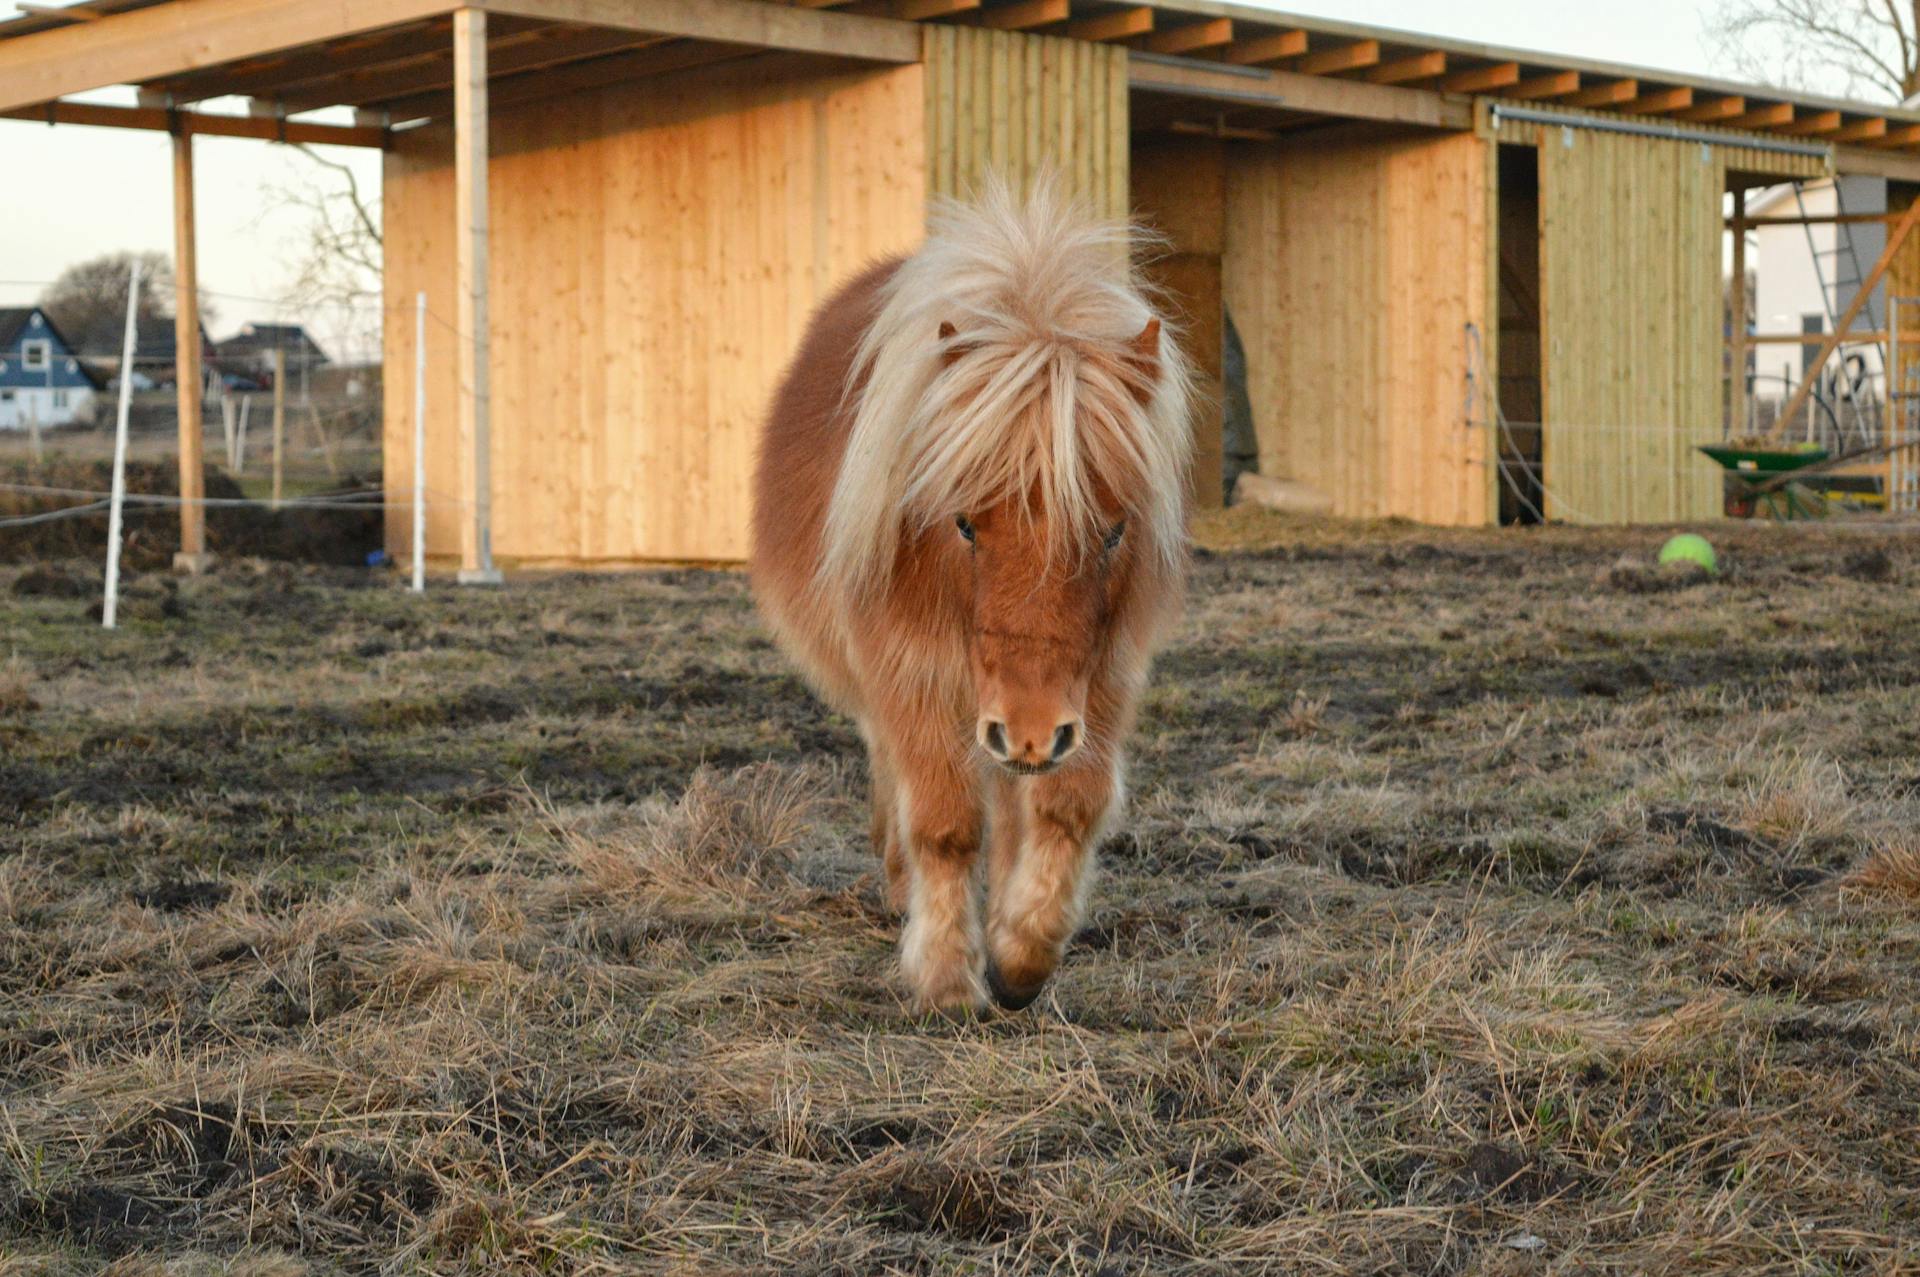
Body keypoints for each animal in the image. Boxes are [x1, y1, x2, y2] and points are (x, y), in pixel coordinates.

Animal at [744, 181, 1182, 1013]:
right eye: (965, 523)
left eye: (1113, 531)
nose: (1033, 731)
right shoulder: (911, 671)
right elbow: (944, 822)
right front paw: (947, 976)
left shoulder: (1100, 679)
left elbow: (1067, 806)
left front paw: (1021, 952)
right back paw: (897, 888)